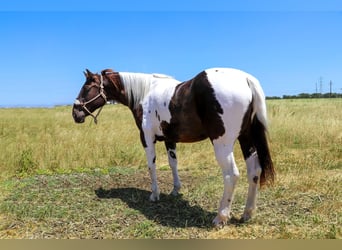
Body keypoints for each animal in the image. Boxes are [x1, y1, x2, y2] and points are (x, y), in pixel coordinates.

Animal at [72, 67, 276, 226]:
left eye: (87, 87)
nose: (75, 113)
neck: (145, 92)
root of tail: (245, 79)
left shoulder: (146, 138)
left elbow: (151, 165)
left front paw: (155, 194)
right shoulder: (169, 139)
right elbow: (173, 164)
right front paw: (176, 189)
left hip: (223, 144)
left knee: (231, 175)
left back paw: (221, 217)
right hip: (246, 139)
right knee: (254, 172)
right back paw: (247, 213)